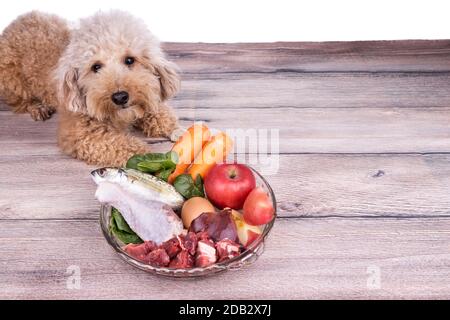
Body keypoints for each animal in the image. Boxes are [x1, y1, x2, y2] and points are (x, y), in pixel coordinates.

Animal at [0, 10, 179, 165]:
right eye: (96, 67)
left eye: (129, 60)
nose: (120, 97)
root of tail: (11, 25)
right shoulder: (81, 135)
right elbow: (125, 147)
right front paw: (150, 160)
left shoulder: (147, 98)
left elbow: (160, 114)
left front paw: (178, 131)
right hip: (13, 81)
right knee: (21, 100)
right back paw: (38, 107)